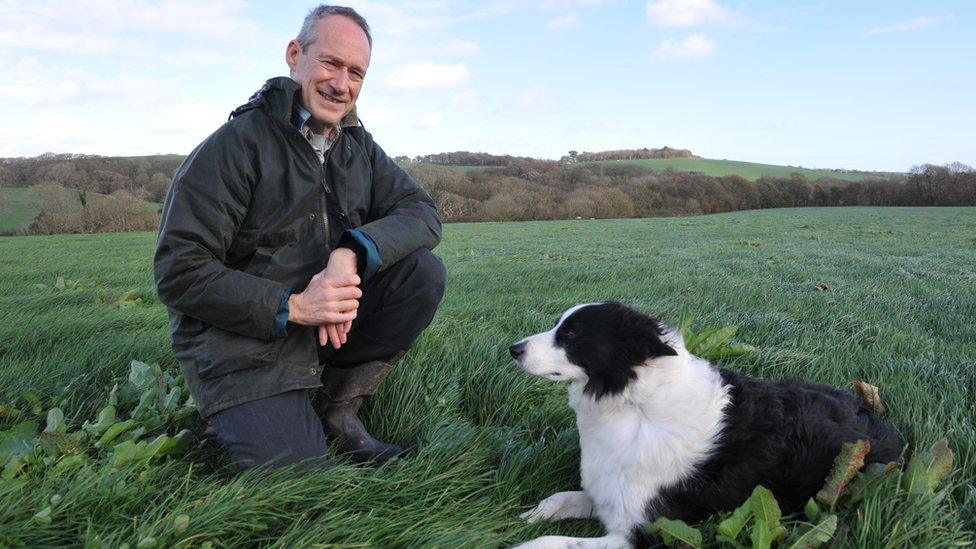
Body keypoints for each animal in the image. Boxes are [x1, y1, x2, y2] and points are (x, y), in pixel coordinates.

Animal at [510, 302, 900, 544]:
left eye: (572, 334)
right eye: (559, 325)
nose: (513, 348)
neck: (635, 405)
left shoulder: (644, 532)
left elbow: (546, 543)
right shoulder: (607, 495)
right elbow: (557, 499)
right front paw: (525, 516)